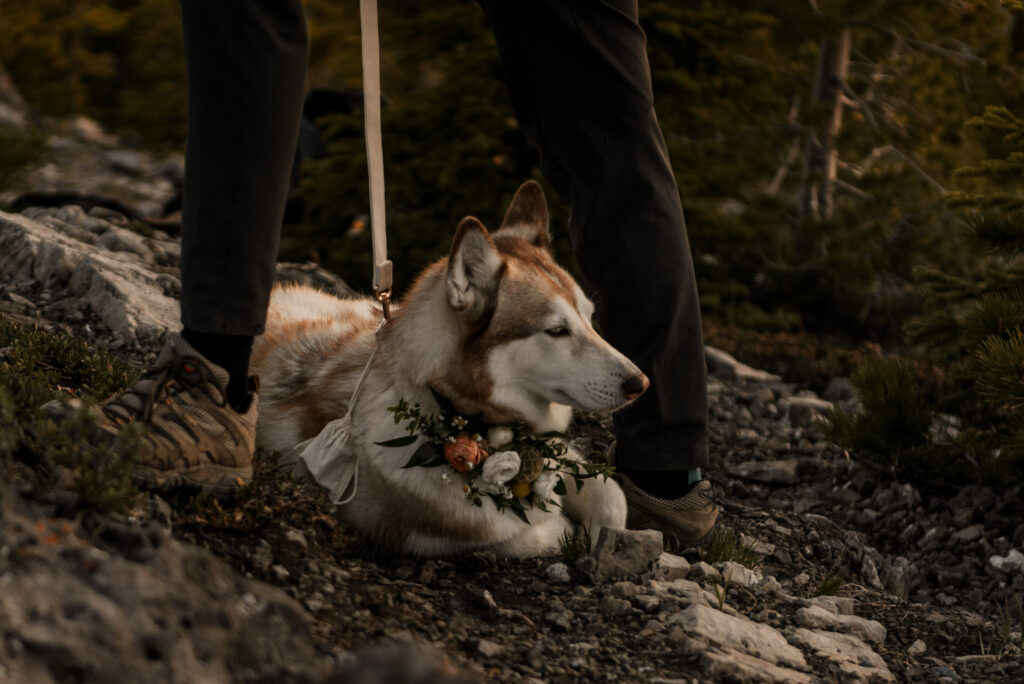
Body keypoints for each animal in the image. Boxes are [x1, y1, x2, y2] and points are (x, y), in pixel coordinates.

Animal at [249, 181, 647, 557]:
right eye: (557, 331)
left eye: (590, 319)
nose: (640, 383)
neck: (455, 413)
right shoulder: (437, 537)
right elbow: (546, 533)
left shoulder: (559, 454)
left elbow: (613, 498)